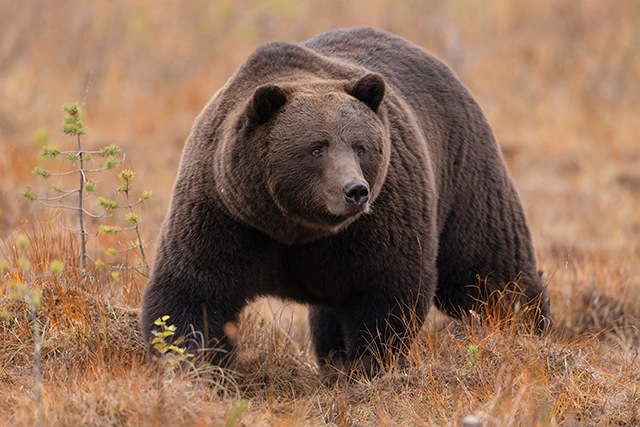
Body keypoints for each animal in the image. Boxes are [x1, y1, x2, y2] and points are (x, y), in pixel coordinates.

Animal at [141, 27, 551, 374]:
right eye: (316, 147)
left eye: (360, 146)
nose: (355, 190)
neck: (295, 227)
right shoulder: (224, 213)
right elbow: (193, 293)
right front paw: (189, 365)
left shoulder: (380, 218)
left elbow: (385, 292)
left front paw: (369, 366)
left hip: (464, 173)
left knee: (489, 275)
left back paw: (529, 329)